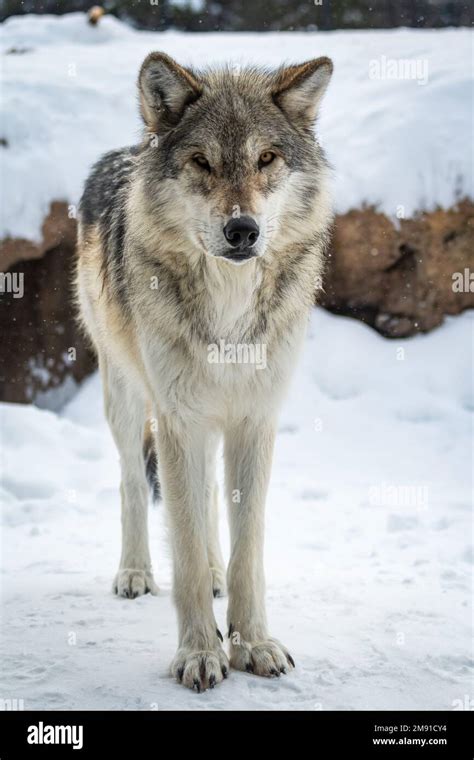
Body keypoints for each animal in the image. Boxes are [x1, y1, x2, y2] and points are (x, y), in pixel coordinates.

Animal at [75, 51, 333, 692]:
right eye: (201, 162)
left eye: (266, 158)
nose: (243, 230)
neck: (230, 307)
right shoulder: (178, 419)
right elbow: (185, 552)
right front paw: (198, 653)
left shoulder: (254, 420)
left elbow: (247, 552)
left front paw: (254, 643)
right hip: (126, 397)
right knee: (133, 480)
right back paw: (136, 572)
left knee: (209, 495)